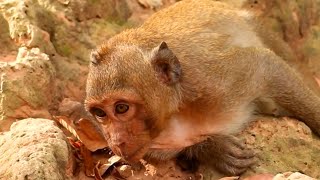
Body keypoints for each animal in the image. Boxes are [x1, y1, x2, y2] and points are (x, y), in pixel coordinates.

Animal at [84, 0, 320, 175]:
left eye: (121, 108)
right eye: (100, 113)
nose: (116, 141)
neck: (176, 112)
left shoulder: (218, 83)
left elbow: (266, 66)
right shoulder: (154, 146)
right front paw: (214, 149)